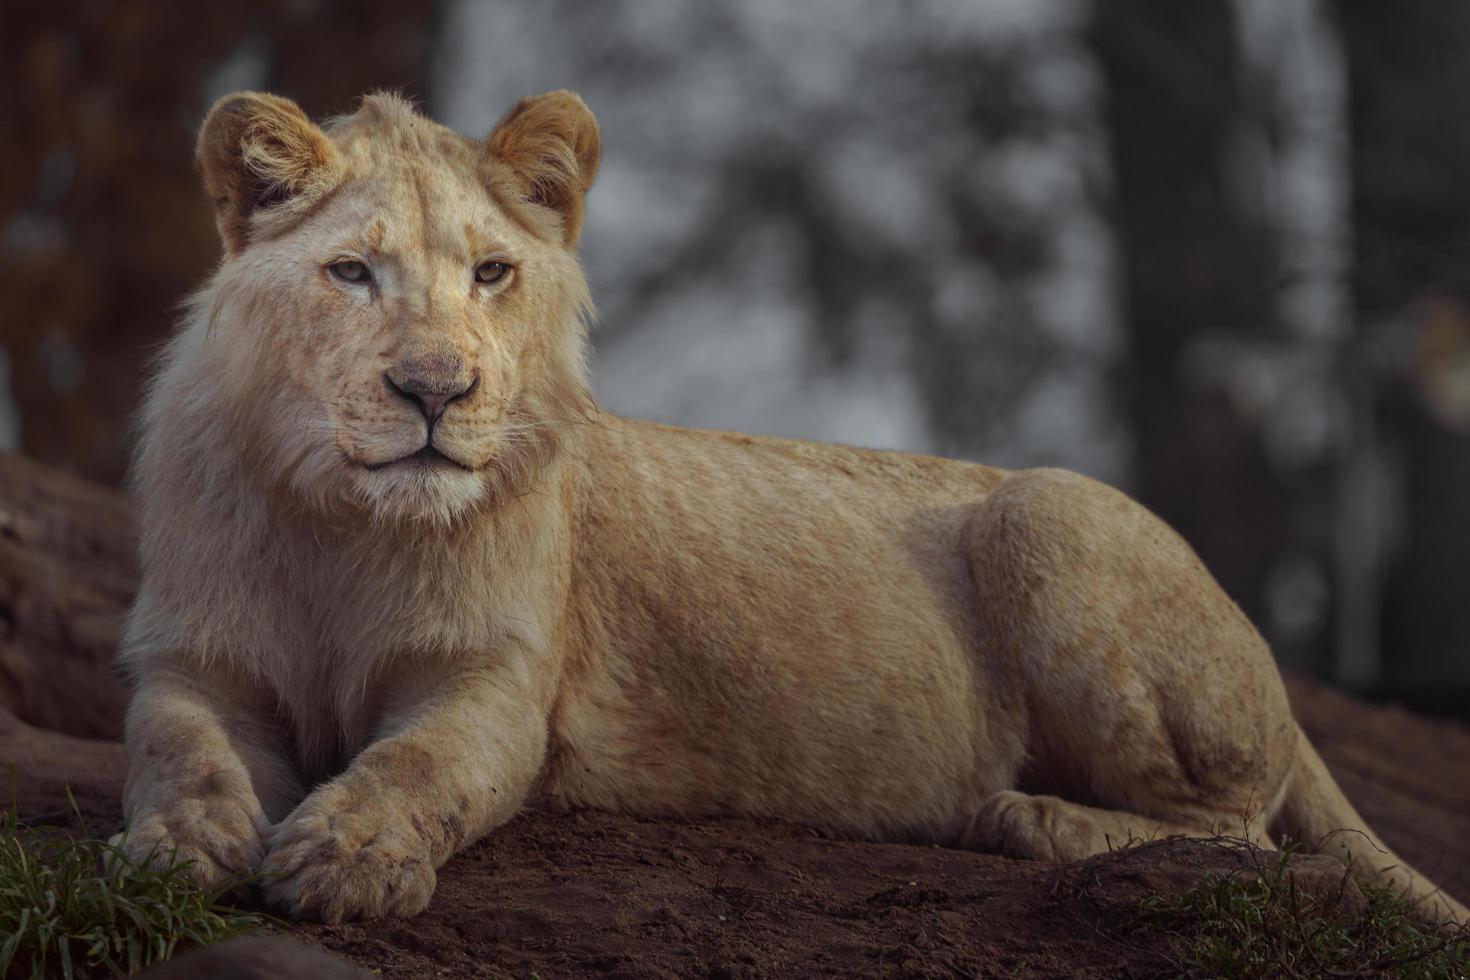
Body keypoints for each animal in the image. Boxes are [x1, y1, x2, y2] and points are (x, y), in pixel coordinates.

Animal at [117, 86, 1470, 928]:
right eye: (352, 271)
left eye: (492, 274)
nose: (436, 390)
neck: (340, 521)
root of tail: (1281, 685)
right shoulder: (193, 653)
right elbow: (175, 746)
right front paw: (175, 848)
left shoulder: (496, 684)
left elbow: (414, 762)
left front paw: (344, 857)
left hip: (1048, 511)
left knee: (1240, 833)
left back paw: (1021, 813)